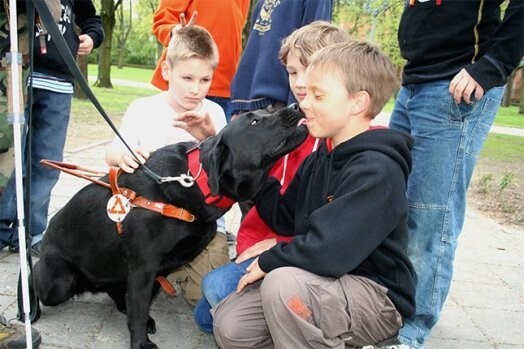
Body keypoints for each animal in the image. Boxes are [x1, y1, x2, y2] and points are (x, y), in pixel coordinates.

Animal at [32, 105, 308, 348]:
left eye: (266, 111)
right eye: (254, 122)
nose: (296, 106)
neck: (195, 180)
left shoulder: (154, 269)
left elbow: (140, 305)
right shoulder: (144, 266)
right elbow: (138, 310)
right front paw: (140, 342)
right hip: (58, 283)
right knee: (35, 275)